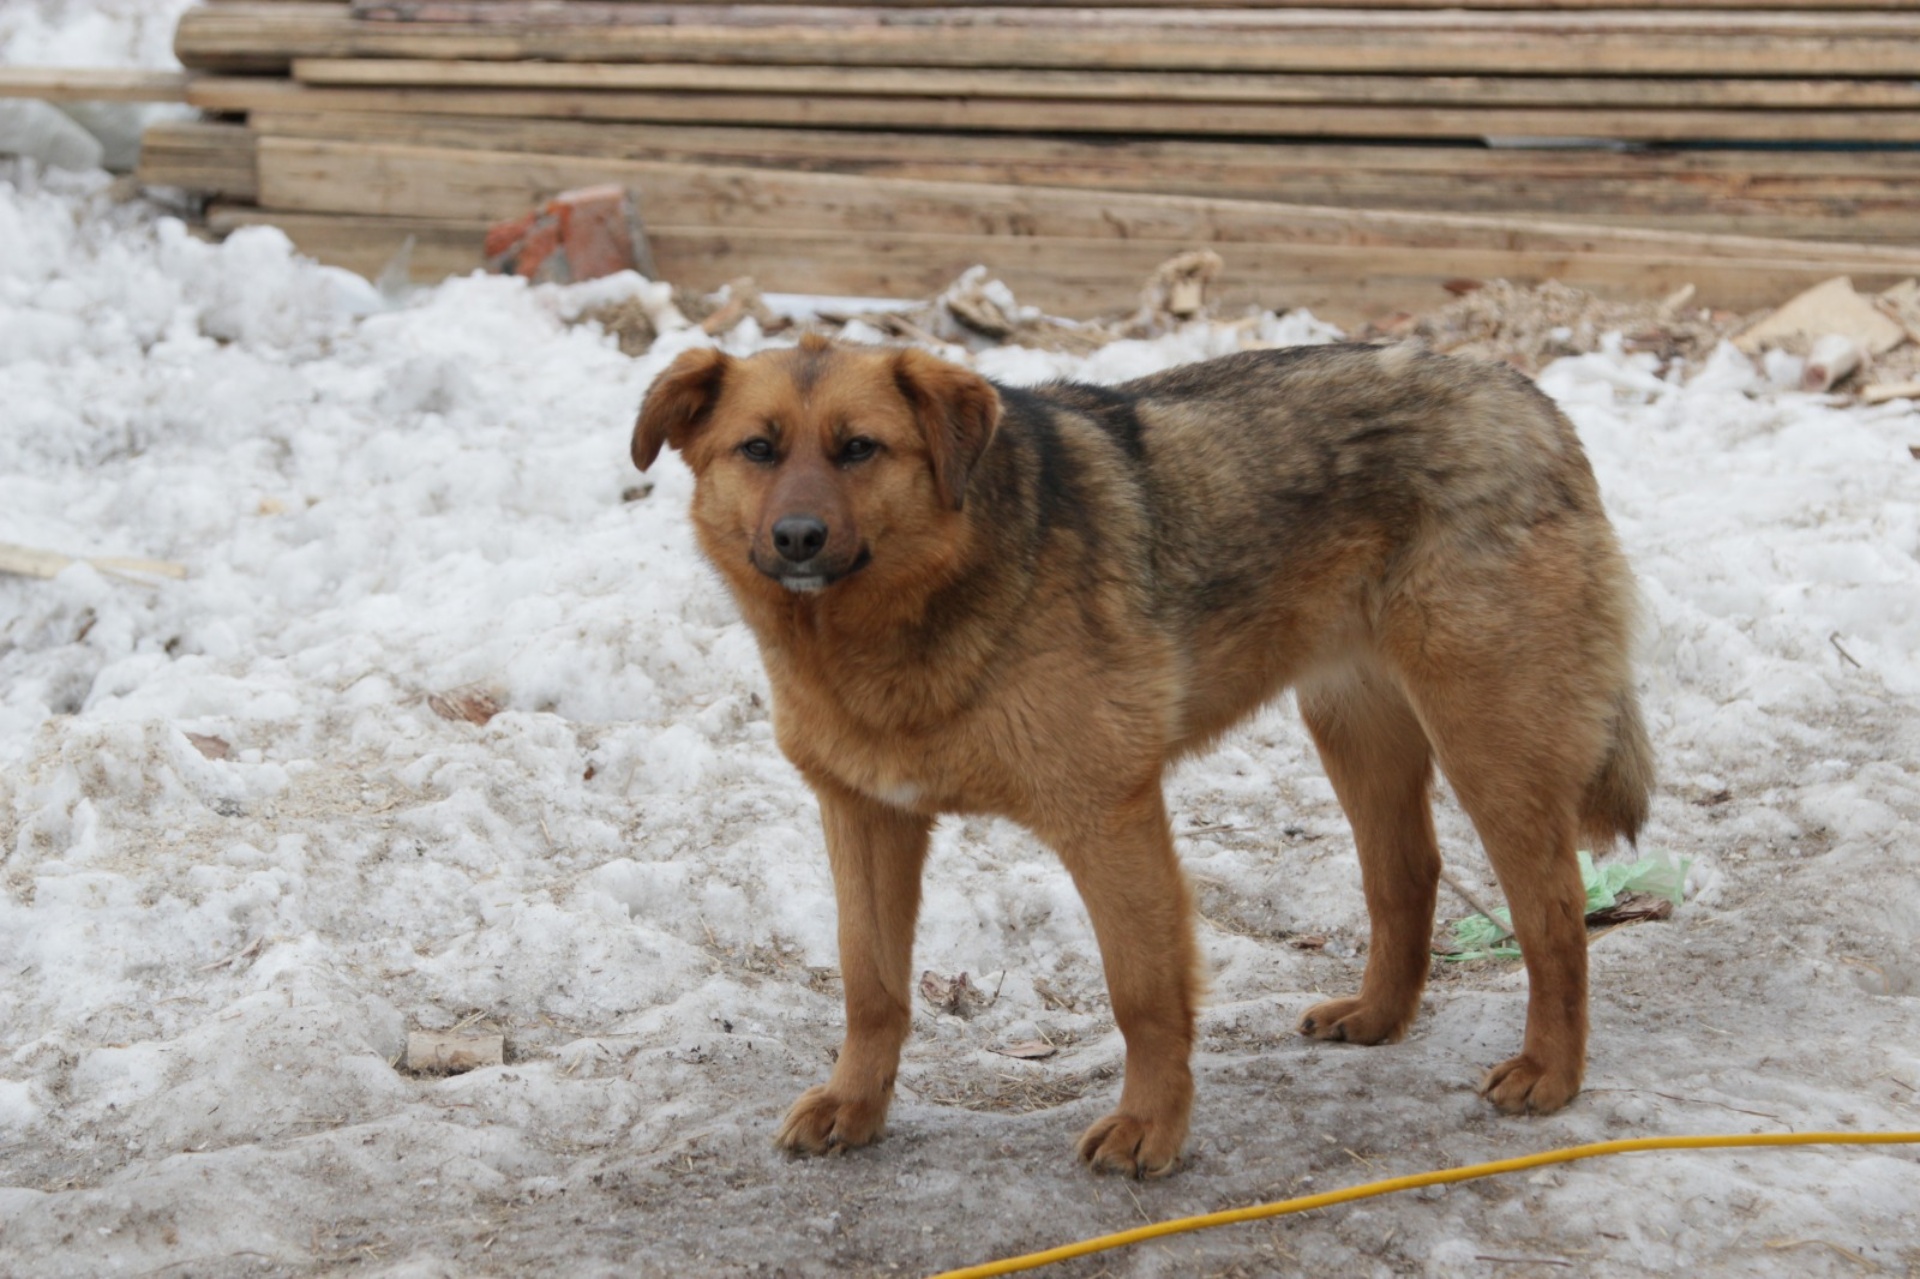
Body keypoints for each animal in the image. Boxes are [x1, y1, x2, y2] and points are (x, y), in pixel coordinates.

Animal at [633, 330, 1651, 1175]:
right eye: (758, 450)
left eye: (859, 449)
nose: (797, 537)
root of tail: (1524, 394)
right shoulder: (866, 817)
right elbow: (868, 981)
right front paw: (856, 1102)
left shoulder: (1109, 818)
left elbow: (1144, 994)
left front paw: (1151, 1127)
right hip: (1355, 727)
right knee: (1406, 872)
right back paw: (1378, 1015)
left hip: (1488, 740)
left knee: (1553, 912)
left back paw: (1551, 1069)